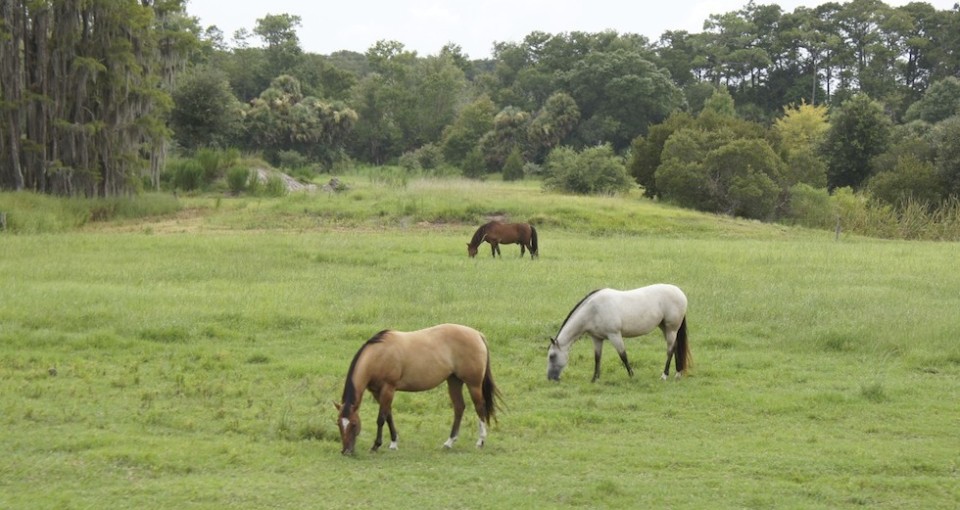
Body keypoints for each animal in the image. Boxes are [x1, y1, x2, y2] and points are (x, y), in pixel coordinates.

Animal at [334, 323, 501, 455]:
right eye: (338, 424)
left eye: (353, 424)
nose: (346, 451)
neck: (379, 355)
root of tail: (477, 334)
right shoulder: (377, 392)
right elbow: (388, 415)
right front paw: (393, 442)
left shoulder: (388, 388)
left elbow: (381, 418)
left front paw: (376, 445)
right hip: (454, 381)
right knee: (459, 407)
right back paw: (449, 442)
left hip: (473, 384)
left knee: (480, 407)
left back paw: (480, 441)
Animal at [546, 284, 692, 382]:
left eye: (552, 356)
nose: (550, 378)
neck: (593, 310)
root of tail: (680, 293)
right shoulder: (597, 338)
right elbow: (597, 358)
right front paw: (595, 379)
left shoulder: (614, 335)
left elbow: (623, 355)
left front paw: (632, 375)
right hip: (664, 327)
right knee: (675, 347)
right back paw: (678, 373)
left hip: (671, 328)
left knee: (670, 350)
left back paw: (664, 375)